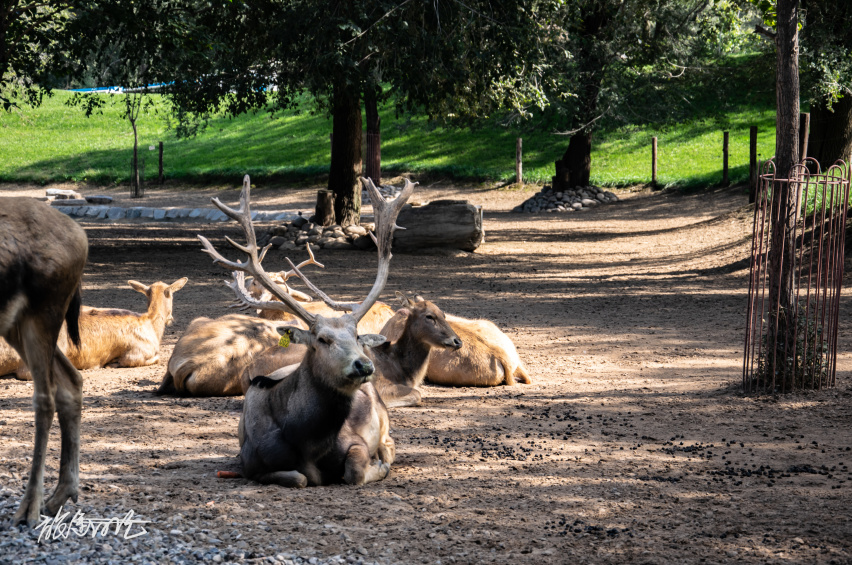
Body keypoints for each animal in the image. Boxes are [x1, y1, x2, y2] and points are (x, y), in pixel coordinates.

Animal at [0, 197, 88, 524]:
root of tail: (82, 236)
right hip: (14, 324)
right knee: (71, 381)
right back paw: (59, 495)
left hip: (43, 313)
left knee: (45, 397)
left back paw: (30, 507)